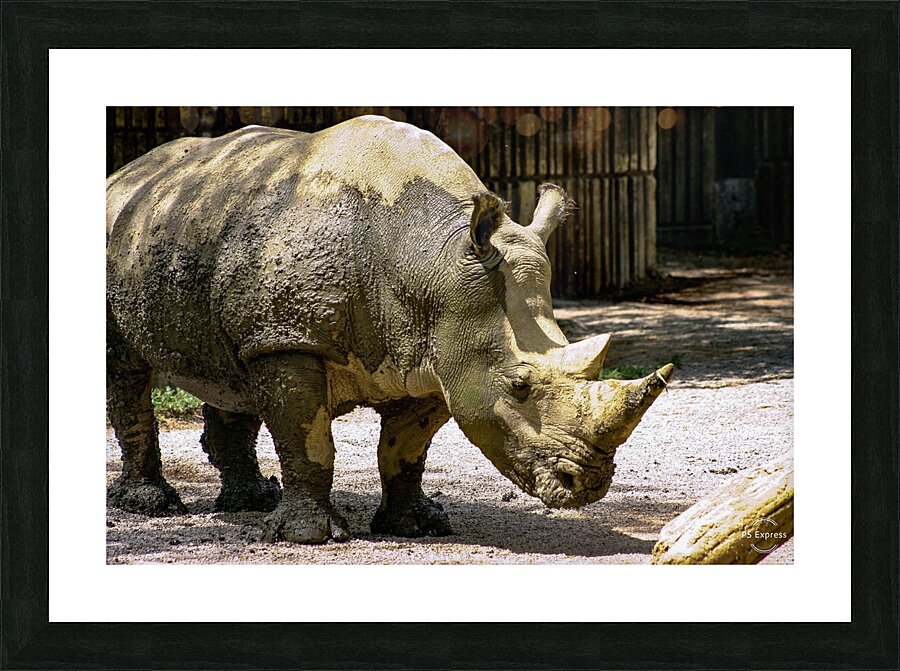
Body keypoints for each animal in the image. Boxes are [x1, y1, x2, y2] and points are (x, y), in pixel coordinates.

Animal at [106, 115, 673, 543]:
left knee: (231, 365)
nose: (589, 484)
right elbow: (306, 437)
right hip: (124, 229)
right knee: (126, 367)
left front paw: (416, 525)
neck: (429, 258)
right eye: (518, 386)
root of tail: (126, 172)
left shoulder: (439, 353)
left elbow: (406, 448)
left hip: (204, 233)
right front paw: (310, 536)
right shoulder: (291, 339)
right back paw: (153, 506)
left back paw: (251, 501)